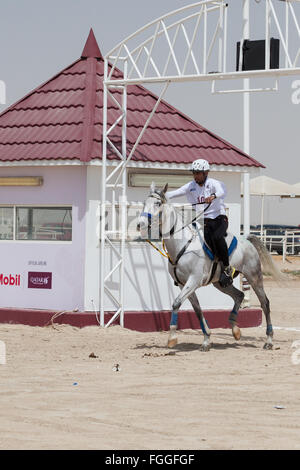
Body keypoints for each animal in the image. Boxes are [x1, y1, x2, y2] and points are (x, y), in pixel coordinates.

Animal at [137, 184, 284, 352]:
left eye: (157, 204)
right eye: (144, 203)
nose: (140, 224)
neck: (183, 245)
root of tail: (247, 240)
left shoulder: (193, 281)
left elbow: (176, 303)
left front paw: (172, 338)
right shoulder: (183, 284)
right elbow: (197, 310)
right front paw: (206, 340)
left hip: (254, 277)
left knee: (265, 303)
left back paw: (269, 340)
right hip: (220, 283)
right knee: (239, 295)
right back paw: (235, 329)